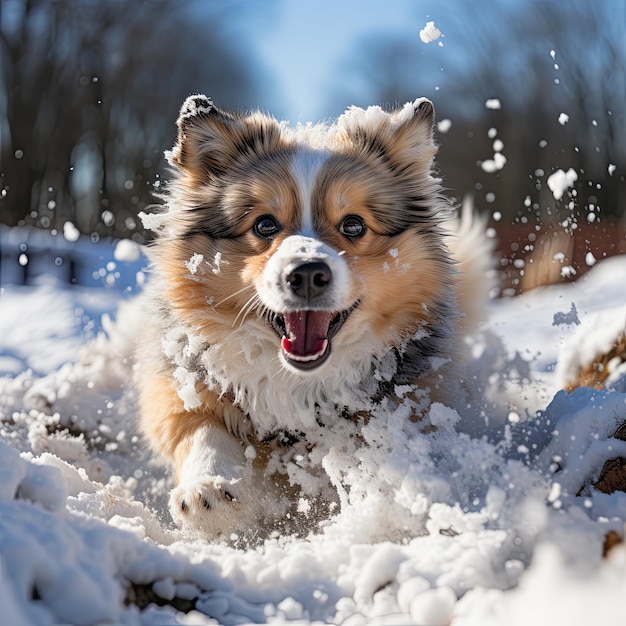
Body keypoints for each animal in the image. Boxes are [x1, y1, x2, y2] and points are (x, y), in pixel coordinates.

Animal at [138, 95, 492, 540]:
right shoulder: (179, 382)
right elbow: (199, 428)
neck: (299, 386)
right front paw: (210, 491)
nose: (306, 274)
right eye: (264, 224)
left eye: (354, 224)